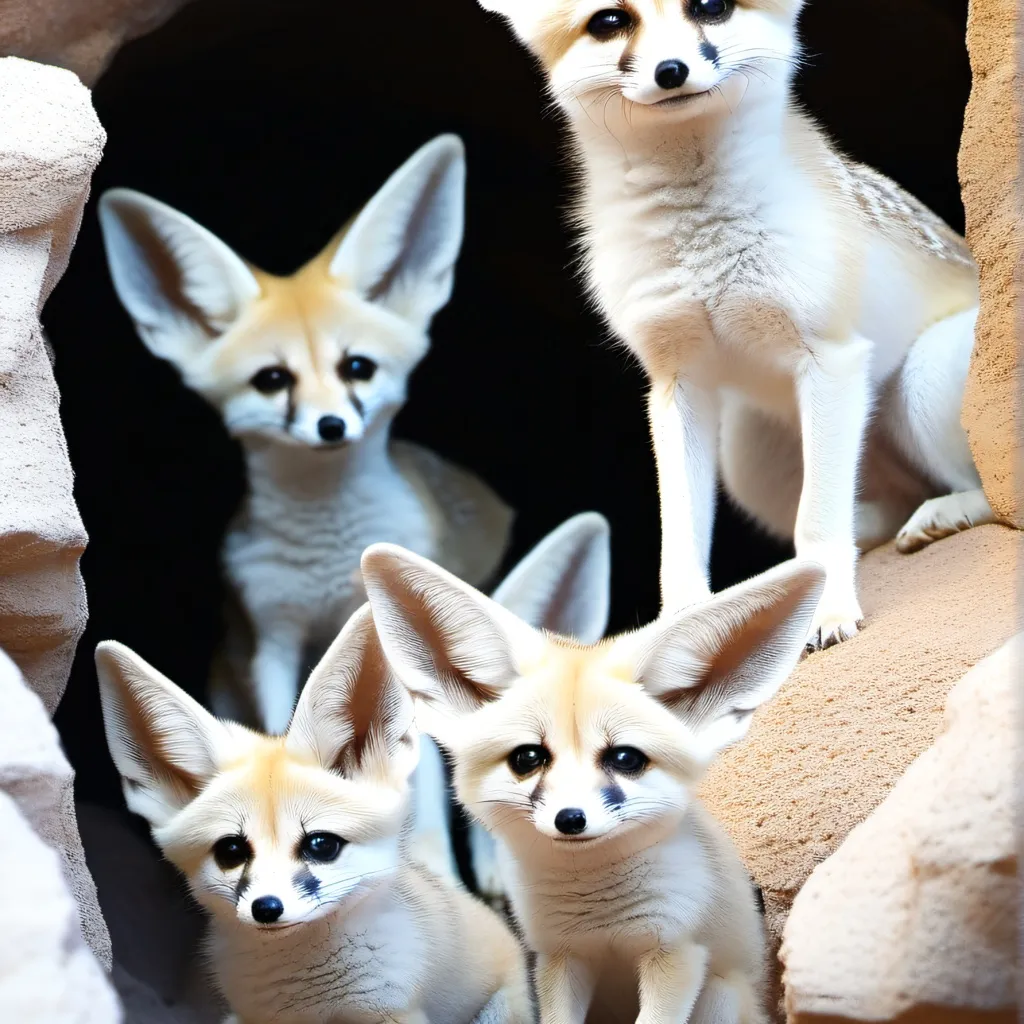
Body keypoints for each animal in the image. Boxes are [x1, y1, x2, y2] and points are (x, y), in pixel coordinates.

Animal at [97, 134, 513, 736]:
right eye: (273, 380)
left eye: (358, 368)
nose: (331, 425)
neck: (326, 561)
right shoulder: (274, 637)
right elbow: (281, 729)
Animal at [360, 541, 826, 1023]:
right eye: (528, 758)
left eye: (625, 759)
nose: (571, 819)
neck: (598, 916)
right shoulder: (561, 958)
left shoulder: (677, 953)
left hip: (721, 994)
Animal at [473, 0, 994, 649]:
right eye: (610, 21)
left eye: (710, 7)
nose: (671, 70)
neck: (703, 248)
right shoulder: (676, 379)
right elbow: (681, 544)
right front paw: (679, 631)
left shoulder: (832, 357)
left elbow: (819, 524)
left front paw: (827, 610)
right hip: (748, 454)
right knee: (874, 512)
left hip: (919, 386)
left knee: (985, 495)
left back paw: (947, 512)